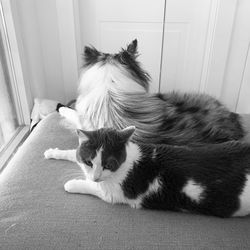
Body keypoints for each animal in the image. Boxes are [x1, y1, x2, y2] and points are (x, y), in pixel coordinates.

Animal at [44, 127, 250, 217]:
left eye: (109, 164)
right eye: (89, 161)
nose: (96, 176)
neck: (128, 162)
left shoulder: (113, 193)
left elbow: (91, 187)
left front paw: (72, 184)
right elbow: (73, 153)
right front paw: (53, 152)